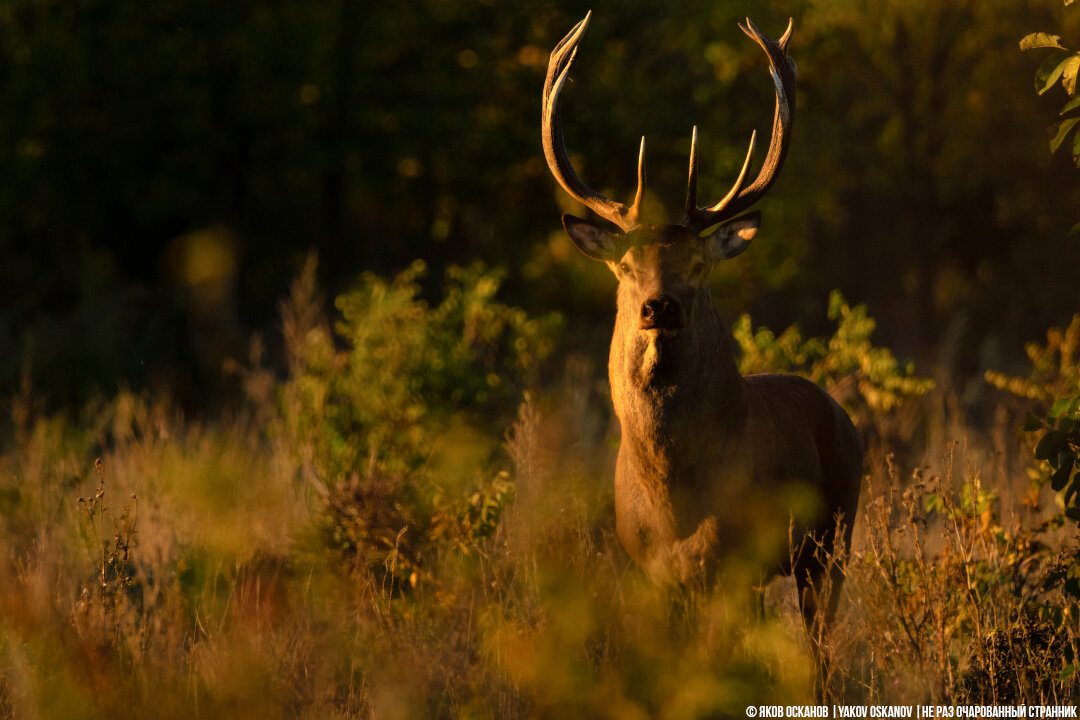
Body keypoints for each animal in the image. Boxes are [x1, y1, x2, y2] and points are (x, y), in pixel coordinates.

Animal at [544, 14, 864, 660]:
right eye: (625, 265)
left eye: (698, 264)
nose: (658, 305)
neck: (676, 506)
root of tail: (843, 415)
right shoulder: (649, 569)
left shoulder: (735, 562)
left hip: (832, 539)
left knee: (821, 643)